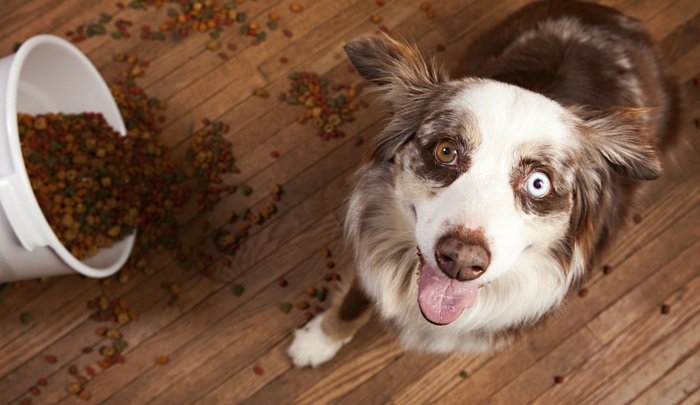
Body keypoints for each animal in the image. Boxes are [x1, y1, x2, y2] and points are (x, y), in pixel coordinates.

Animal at [284, 0, 680, 366]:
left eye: (539, 184)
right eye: (446, 151)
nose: (460, 261)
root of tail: (615, 17)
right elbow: (355, 299)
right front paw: (320, 340)